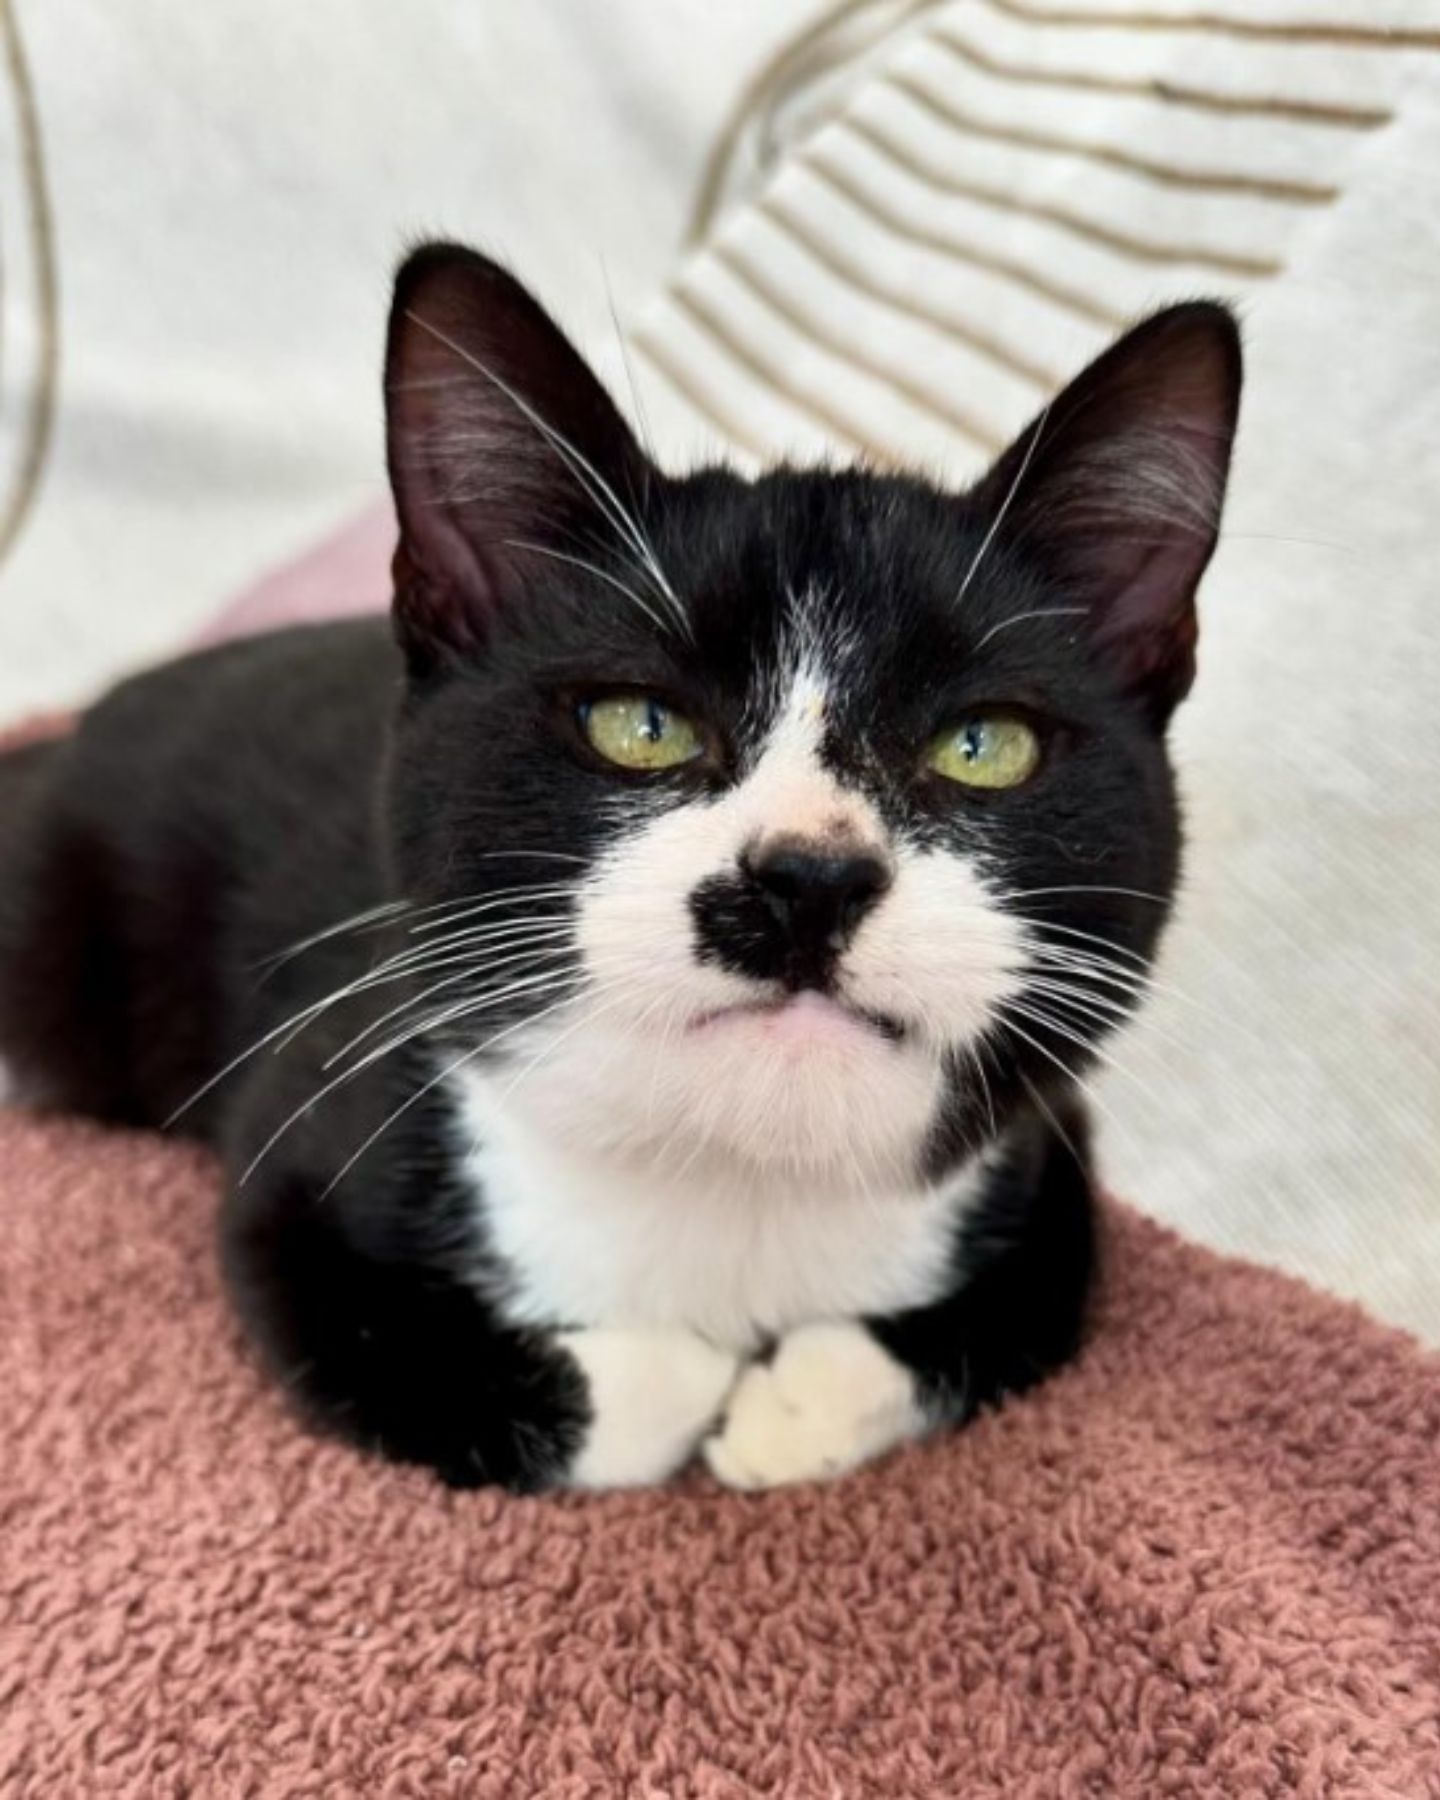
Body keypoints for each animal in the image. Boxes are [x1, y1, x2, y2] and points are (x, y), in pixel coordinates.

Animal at [0, 246, 1238, 1497]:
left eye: (982, 746)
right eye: (641, 725)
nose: (807, 879)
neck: (737, 1178)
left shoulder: (1051, 1160)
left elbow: (1037, 1303)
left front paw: (795, 1401)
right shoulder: (309, 1131)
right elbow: (396, 1341)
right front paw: (695, 1374)